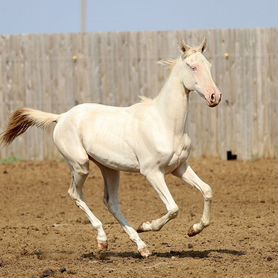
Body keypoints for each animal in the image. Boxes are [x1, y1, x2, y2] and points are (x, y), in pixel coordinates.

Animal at [0, 38, 222, 258]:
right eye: (192, 67)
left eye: (209, 65)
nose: (215, 96)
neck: (164, 123)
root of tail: (61, 117)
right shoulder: (152, 172)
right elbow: (173, 208)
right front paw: (146, 225)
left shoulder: (179, 167)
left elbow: (207, 190)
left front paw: (193, 230)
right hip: (80, 165)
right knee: (75, 194)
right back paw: (103, 240)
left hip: (110, 169)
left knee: (111, 202)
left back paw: (141, 247)